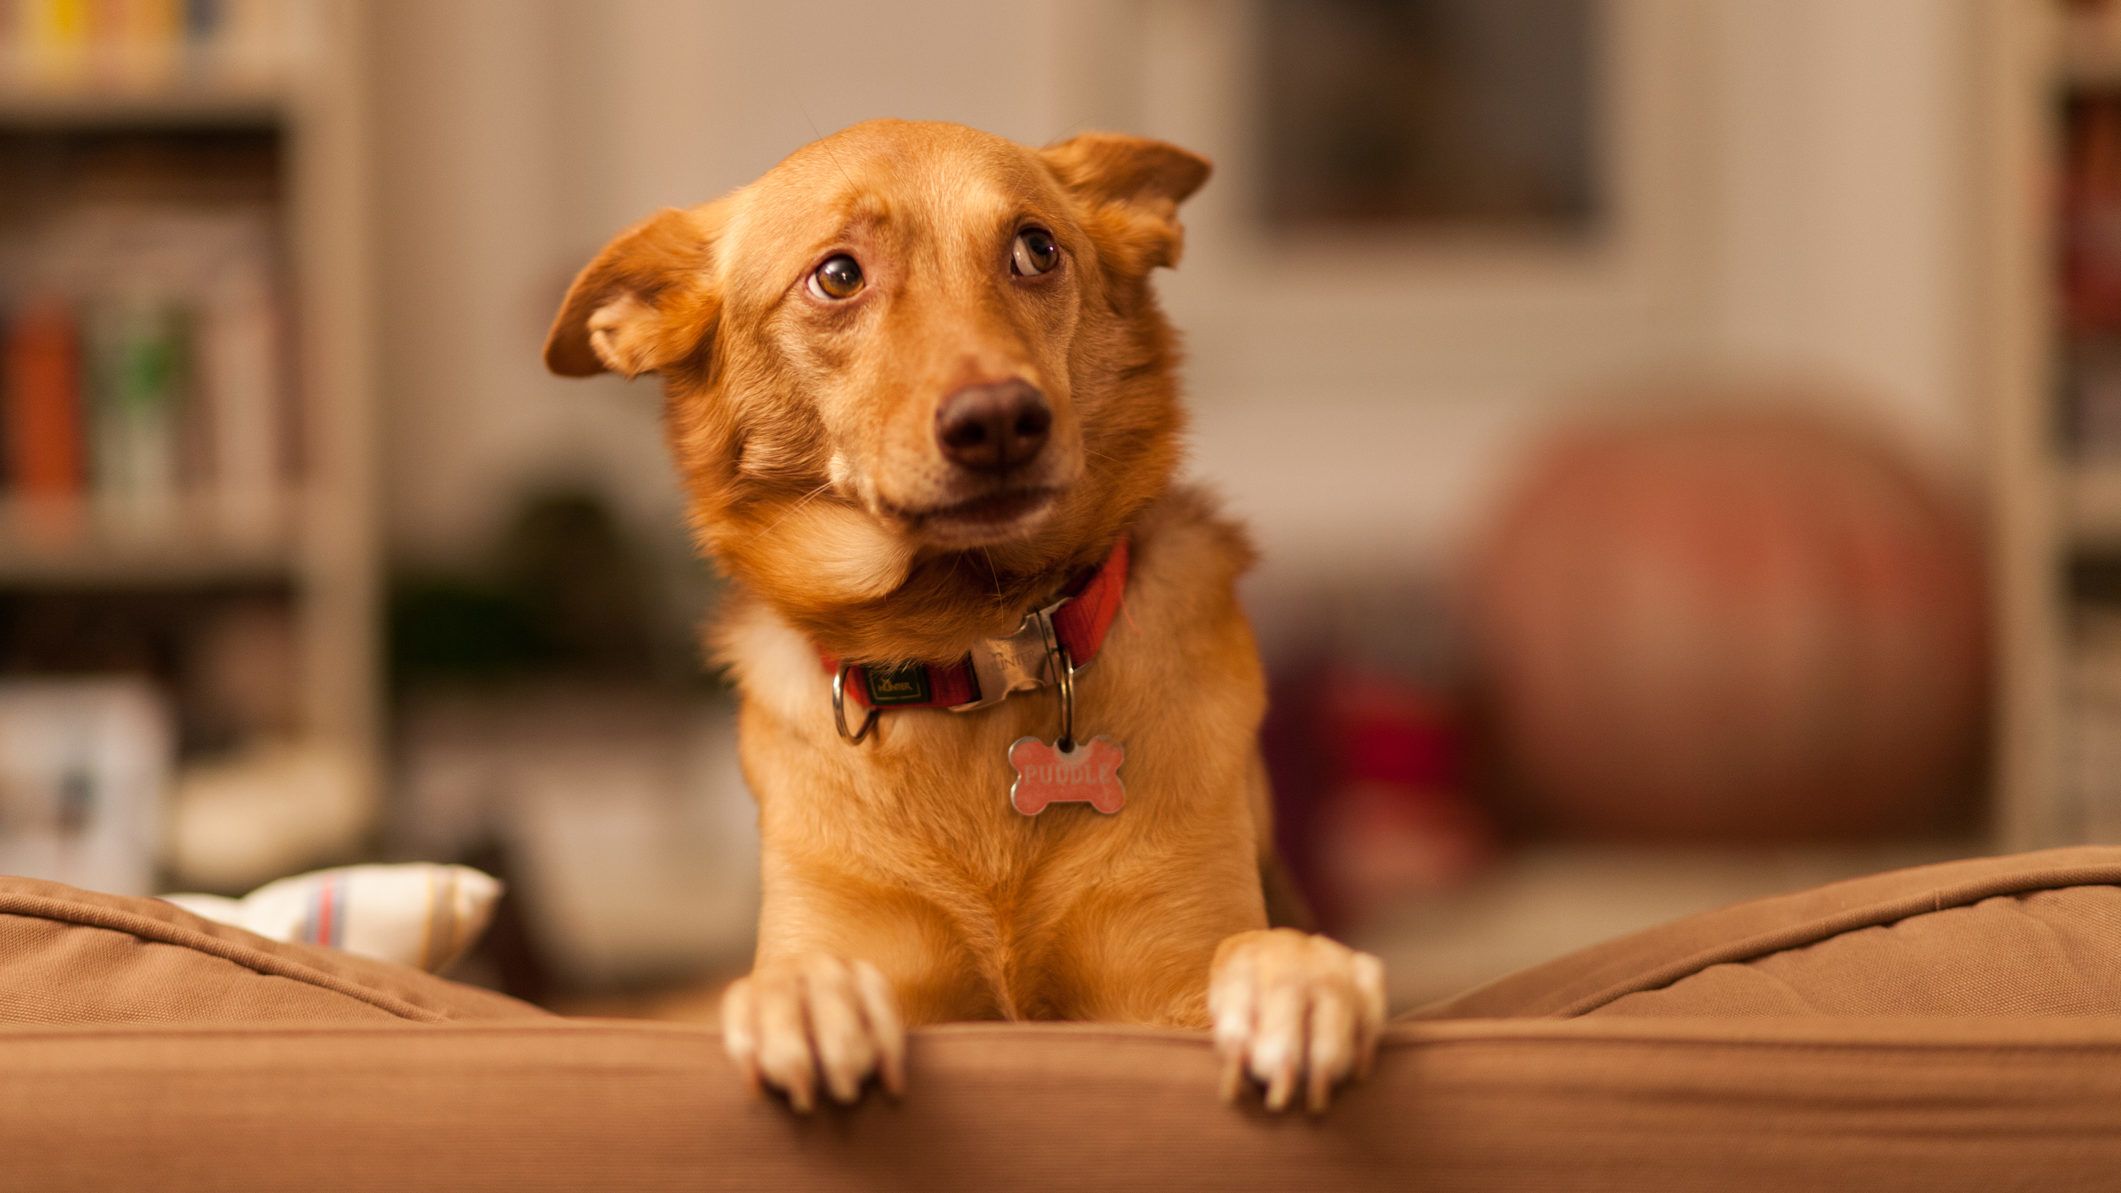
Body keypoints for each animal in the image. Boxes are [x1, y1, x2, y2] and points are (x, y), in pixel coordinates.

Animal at [538, 116, 1382, 1112]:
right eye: (837, 275)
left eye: (1036, 249)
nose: (1000, 420)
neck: (969, 643)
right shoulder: (863, 941)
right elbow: (803, 970)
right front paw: (805, 997)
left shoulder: (1162, 978)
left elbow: (1249, 949)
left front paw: (1301, 975)